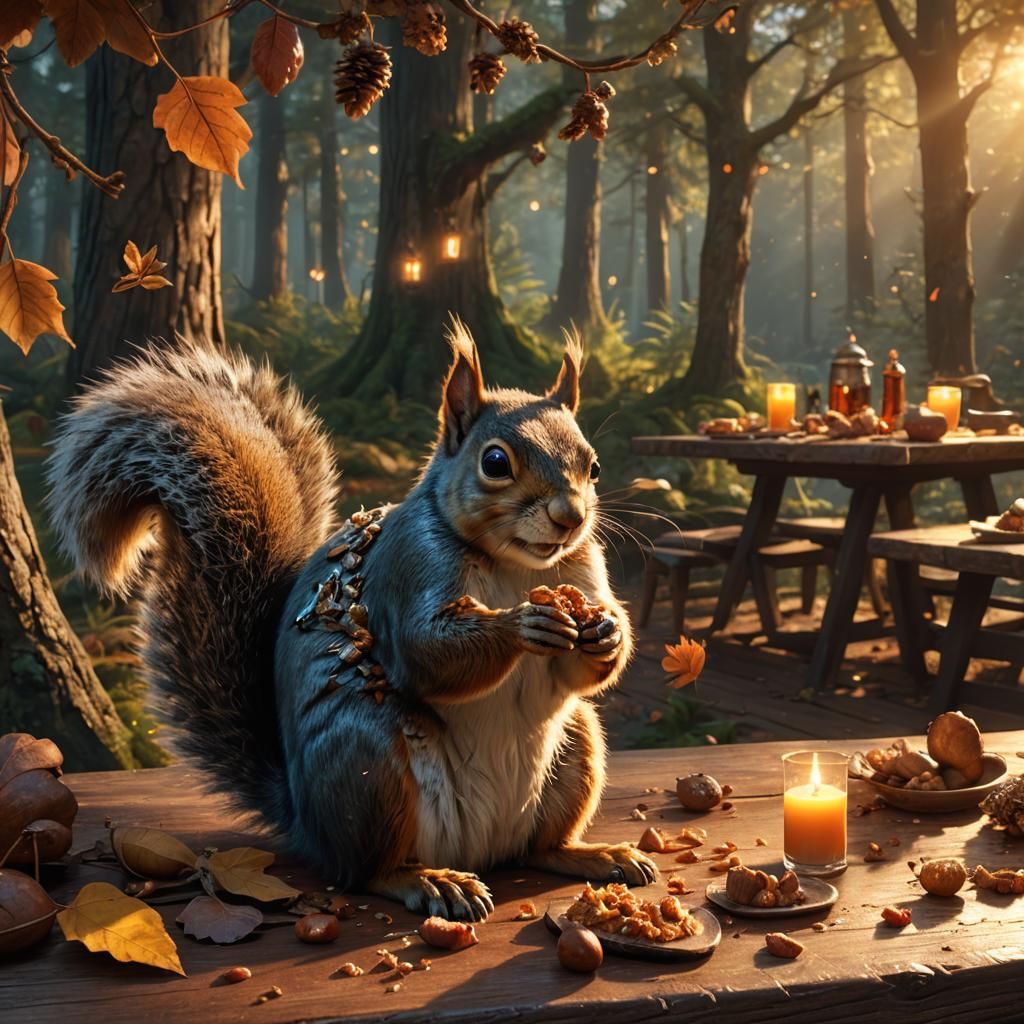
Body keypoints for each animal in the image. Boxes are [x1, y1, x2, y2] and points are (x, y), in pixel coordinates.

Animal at [47, 322, 657, 921]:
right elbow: (427, 654)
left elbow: (583, 667)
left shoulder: (584, 569)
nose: (570, 517)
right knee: (367, 870)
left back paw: (593, 855)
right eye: (495, 463)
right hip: (370, 764)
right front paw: (524, 623)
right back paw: (430, 881)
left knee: (539, 846)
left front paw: (606, 633)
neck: (516, 565)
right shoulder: (408, 568)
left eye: (593, 465)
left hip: (576, 747)